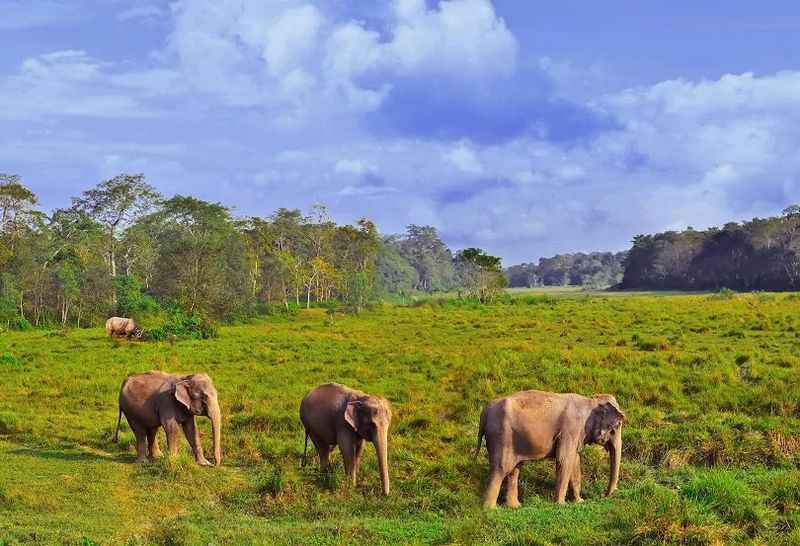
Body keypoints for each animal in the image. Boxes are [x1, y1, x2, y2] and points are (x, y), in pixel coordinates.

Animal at [476, 386, 624, 506]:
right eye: (617, 426)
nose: (603, 495)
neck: (590, 400)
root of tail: (485, 410)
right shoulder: (570, 429)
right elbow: (564, 460)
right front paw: (561, 504)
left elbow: (575, 461)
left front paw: (579, 501)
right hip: (501, 436)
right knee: (501, 469)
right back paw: (490, 509)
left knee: (514, 469)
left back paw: (515, 506)